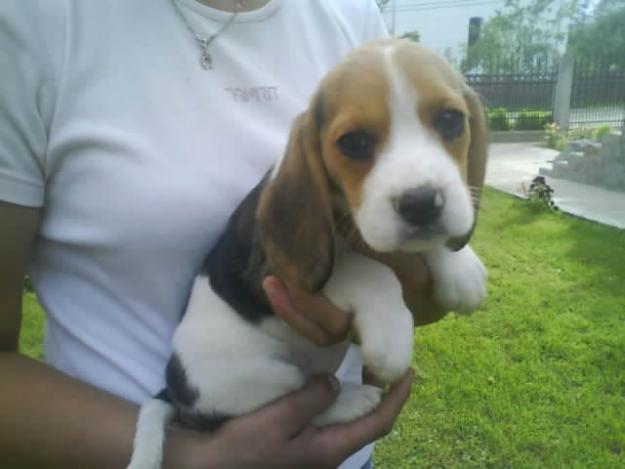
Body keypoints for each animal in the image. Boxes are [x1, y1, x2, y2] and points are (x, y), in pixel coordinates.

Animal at [127, 40, 488, 468]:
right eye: (354, 143)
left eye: (451, 121)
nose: (421, 203)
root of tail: (175, 390)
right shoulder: (275, 271)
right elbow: (367, 270)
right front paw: (391, 336)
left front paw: (462, 269)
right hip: (257, 375)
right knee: (307, 403)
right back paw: (352, 399)